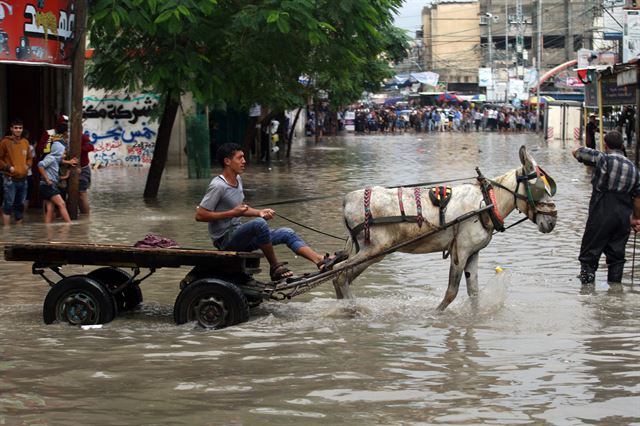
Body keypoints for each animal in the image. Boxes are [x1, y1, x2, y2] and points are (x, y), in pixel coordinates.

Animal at [332, 146, 556, 310]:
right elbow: (451, 292)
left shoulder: (472, 253)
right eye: (541, 189)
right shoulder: (460, 251)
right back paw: (351, 309)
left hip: (370, 251)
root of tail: (346, 201)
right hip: (375, 250)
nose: (552, 221)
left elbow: (474, 293)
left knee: (340, 276)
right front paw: (436, 315)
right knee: (339, 273)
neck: (487, 201)